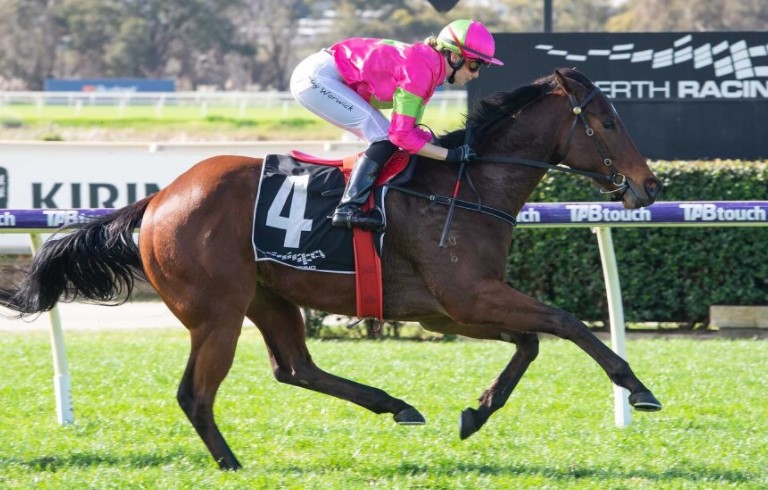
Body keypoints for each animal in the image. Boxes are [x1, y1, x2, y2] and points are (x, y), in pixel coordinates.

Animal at [1, 68, 663, 470]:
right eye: (607, 121)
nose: (650, 185)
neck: (465, 187)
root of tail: (160, 197)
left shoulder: (452, 310)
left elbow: (531, 340)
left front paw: (476, 411)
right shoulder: (470, 297)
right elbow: (565, 323)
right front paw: (637, 387)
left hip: (268, 297)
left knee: (295, 368)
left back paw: (394, 404)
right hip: (217, 313)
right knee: (196, 394)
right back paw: (232, 463)